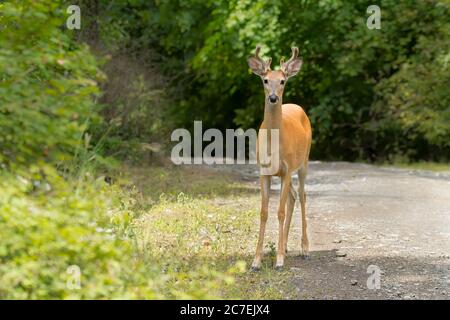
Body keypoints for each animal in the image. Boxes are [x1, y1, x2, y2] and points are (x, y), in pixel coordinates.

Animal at [246, 45, 312, 270]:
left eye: (282, 81)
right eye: (265, 80)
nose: (273, 98)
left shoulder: (286, 170)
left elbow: (280, 212)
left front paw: (280, 260)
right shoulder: (264, 171)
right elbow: (264, 212)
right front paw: (256, 261)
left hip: (303, 162)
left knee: (301, 195)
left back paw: (304, 248)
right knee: (292, 197)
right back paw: (285, 246)